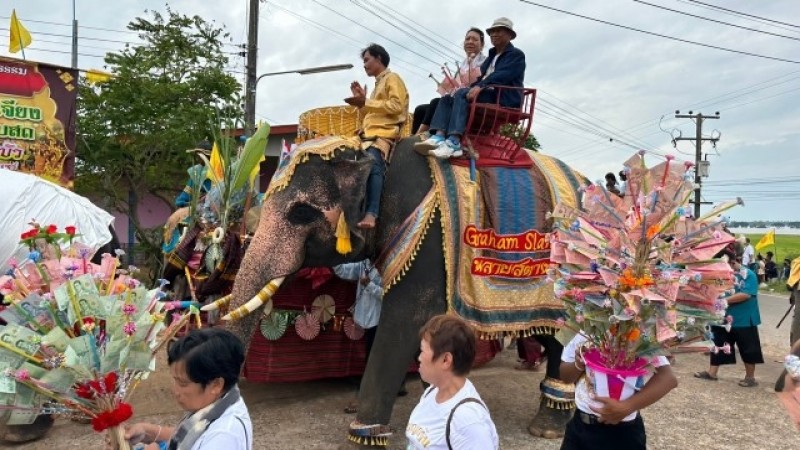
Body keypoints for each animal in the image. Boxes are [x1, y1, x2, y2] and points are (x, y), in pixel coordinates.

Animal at [222, 137, 584, 446]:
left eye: (300, 213)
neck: (374, 155)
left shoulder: (429, 243)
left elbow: (406, 322)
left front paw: (362, 439)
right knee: (551, 333)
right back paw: (550, 420)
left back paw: (548, 426)